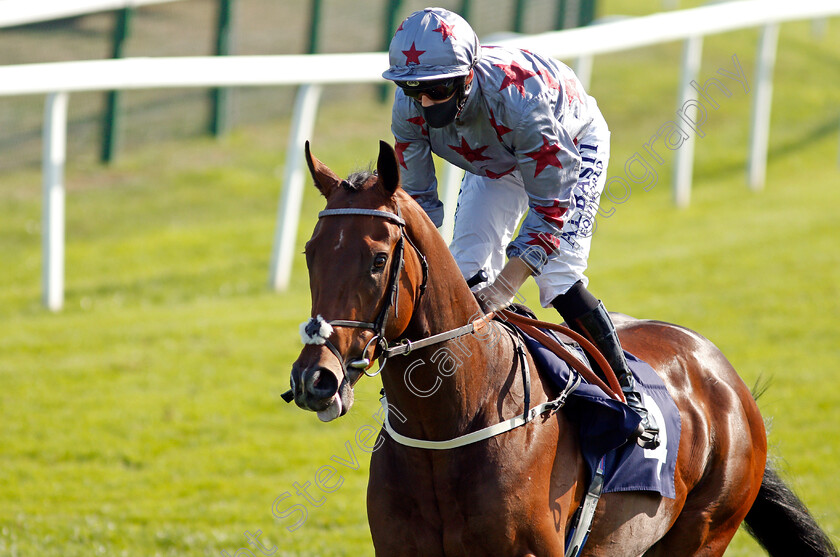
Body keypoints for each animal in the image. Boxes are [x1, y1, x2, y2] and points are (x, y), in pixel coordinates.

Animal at [288, 141, 832, 552]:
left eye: (378, 260)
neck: (450, 424)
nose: (315, 378)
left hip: (705, 529)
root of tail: (725, 376)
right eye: (310, 253)